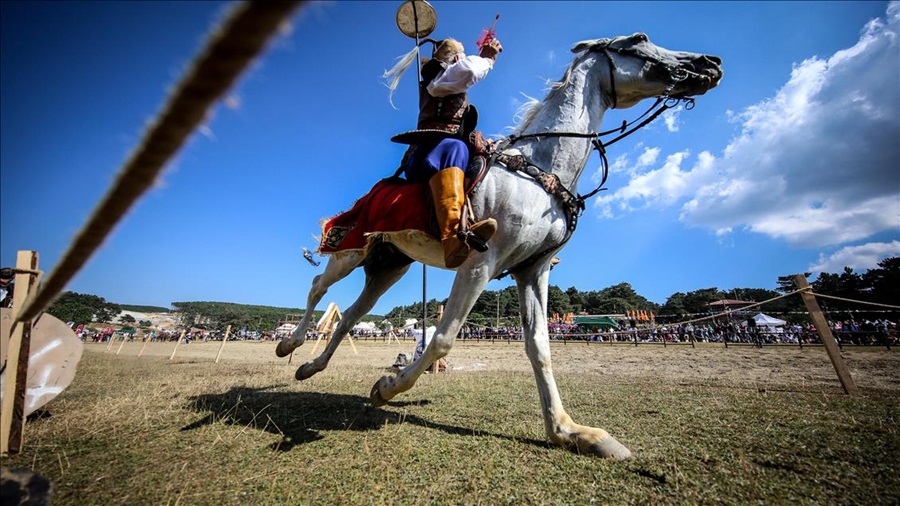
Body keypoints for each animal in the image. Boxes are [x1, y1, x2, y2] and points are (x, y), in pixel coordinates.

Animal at [276, 31, 724, 458]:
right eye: (639, 39)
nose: (710, 64)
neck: (539, 171)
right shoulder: (479, 265)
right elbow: (442, 338)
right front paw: (387, 386)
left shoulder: (532, 271)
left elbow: (539, 347)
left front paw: (569, 431)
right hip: (352, 251)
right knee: (318, 287)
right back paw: (289, 344)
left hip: (390, 265)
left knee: (351, 315)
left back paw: (310, 367)